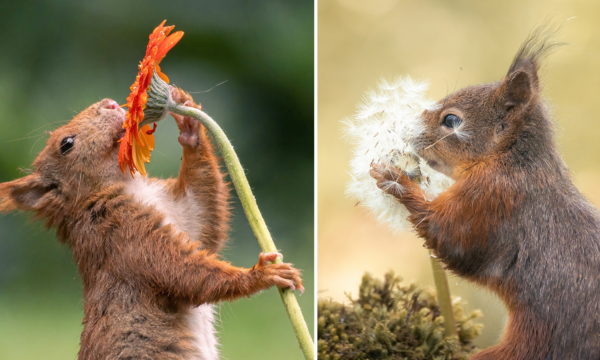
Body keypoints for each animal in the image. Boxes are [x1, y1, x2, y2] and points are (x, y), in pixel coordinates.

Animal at [0, 87, 304, 360]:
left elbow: (204, 219)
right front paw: (262, 273)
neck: (127, 186)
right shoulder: (122, 235)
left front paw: (189, 122)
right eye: (66, 144)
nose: (110, 103)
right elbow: (181, 271)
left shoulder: (181, 214)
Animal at [370, 27, 600, 358]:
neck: (511, 162)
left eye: (451, 120)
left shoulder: (489, 201)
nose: (407, 130)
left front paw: (394, 178)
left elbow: (447, 235)